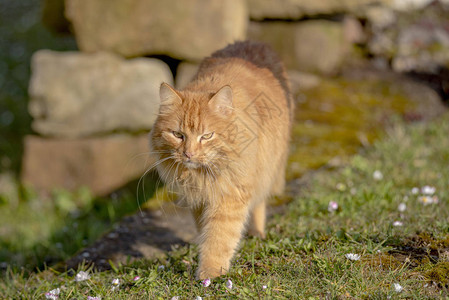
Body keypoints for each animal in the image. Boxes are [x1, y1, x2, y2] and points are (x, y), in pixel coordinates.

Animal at [149, 39, 292, 278]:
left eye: (207, 136)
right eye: (178, 135)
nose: (188, 153)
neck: (202, 174)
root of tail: (250, 42)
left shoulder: (231, 194)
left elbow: (218, 238)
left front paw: (210, 274)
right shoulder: (200, 198)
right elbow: (205, 232)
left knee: (259, 202)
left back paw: (257, 233)